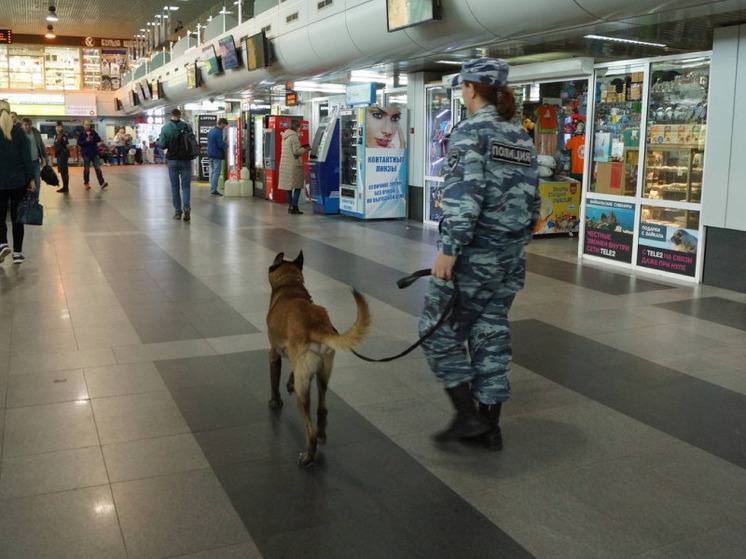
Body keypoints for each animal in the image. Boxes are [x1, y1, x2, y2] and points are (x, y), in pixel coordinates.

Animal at [268, 252, 372, 466]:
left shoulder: (274, 353)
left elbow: (274, 381)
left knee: (310, 430)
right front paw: (288, 382)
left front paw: (275, 402)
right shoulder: (298, 363)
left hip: (302, 394)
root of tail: (318, 327)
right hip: (322, 376)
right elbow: (291, 373)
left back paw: (308, 456)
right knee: (322, 409)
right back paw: (322, 432)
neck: (289, 287)